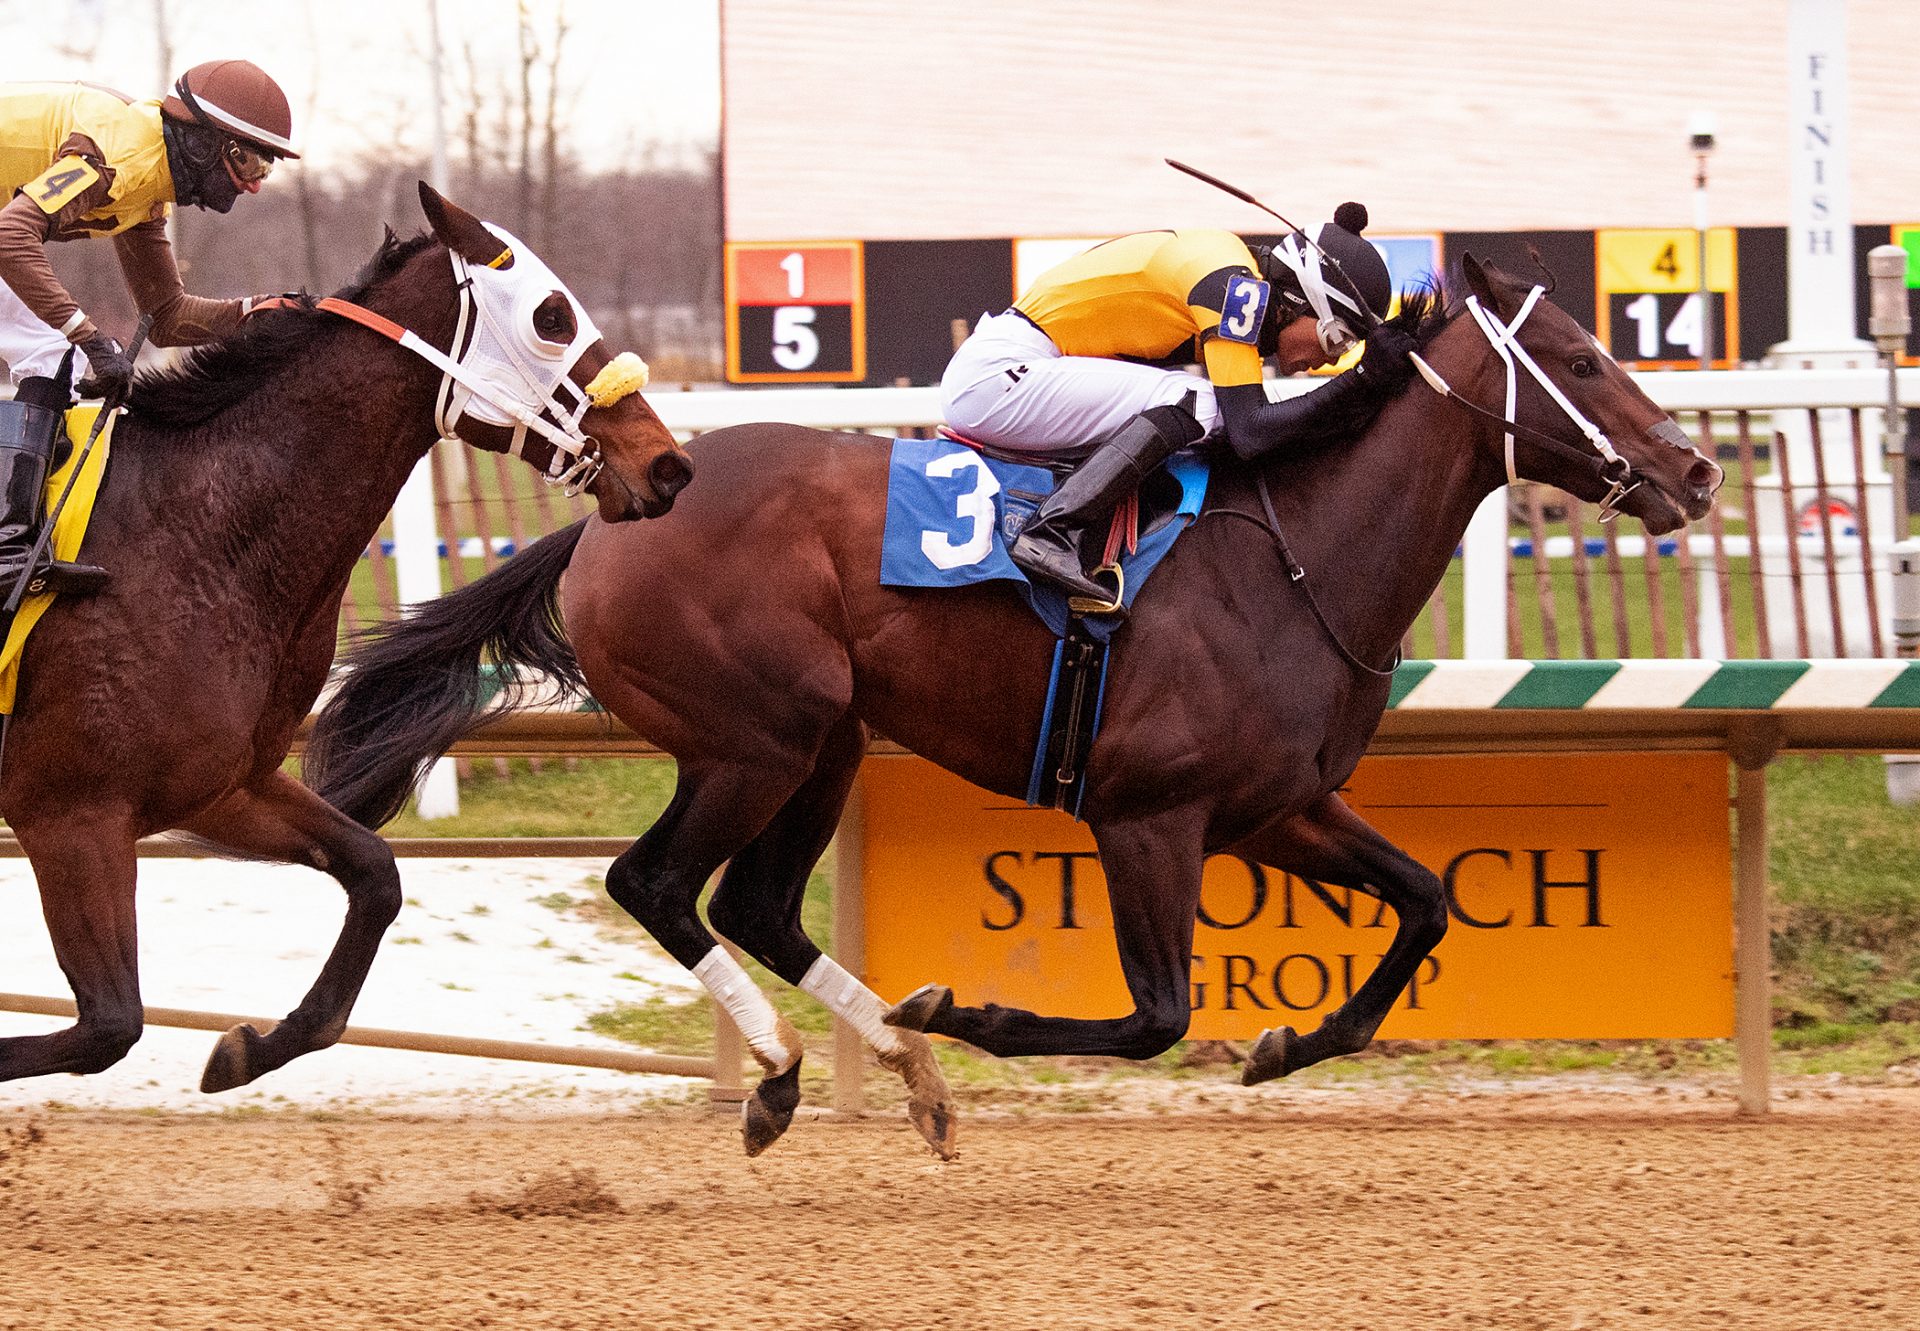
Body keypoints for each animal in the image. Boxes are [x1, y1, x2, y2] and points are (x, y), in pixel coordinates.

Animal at [0, 181, 691, 1098]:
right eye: (551, 316)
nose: (667, 464)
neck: (192, 531)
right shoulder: (72, 814)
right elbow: (108, 1023)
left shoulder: (220, 786)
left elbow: (376, 873)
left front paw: (247, 1047)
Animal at [307, 257, 1720, 1152]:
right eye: (1584, 355)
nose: (1697, 470)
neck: (1293, 557)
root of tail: (616, 512)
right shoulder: (1150, 815)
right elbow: (1157, 1015)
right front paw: (972, 1010)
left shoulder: (1279, 807)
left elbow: (1426, 900)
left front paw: (1288, 1044)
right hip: (755, 738)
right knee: (653, 883)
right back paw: (799, 1071)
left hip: (828, 740)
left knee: (753, 904)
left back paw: (904, 1066)